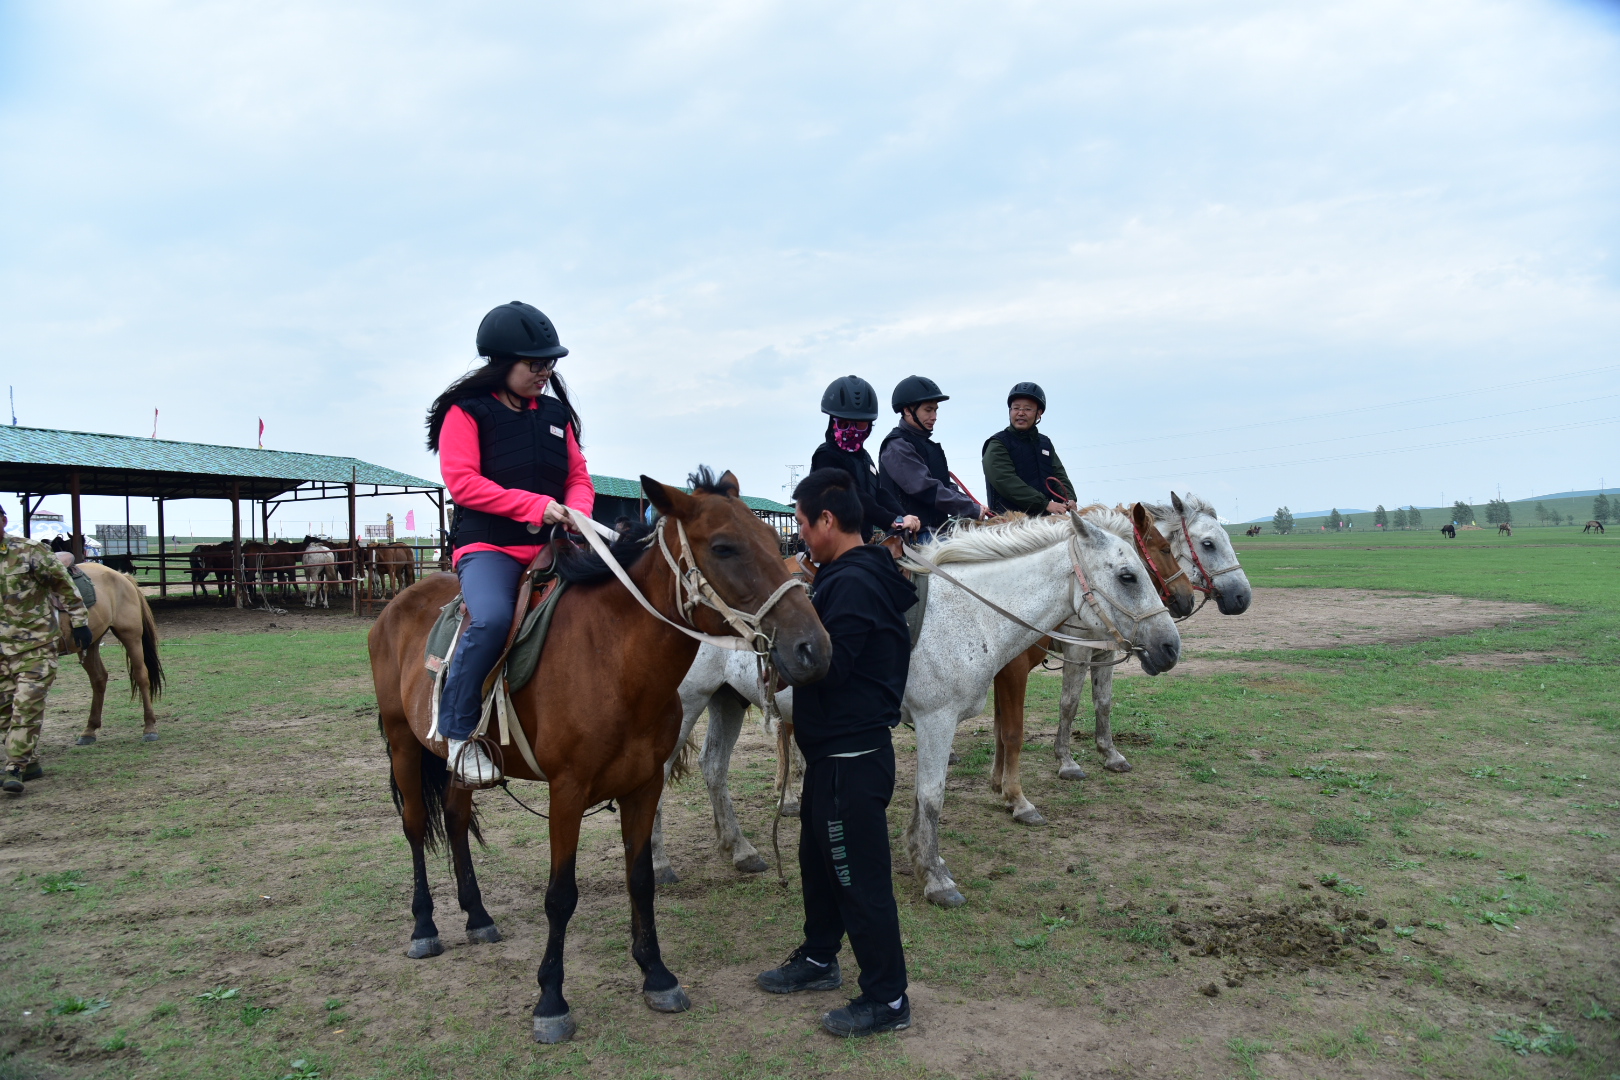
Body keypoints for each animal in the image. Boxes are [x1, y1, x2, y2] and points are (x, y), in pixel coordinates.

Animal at [53, 566, 164, 744]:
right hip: (90, 642)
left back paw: (149, 728)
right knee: (99, 678)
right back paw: (89, 730)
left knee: (141, 676)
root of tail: (121, 575)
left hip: (130, 635)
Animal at [367, 469, 822, 1042]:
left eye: (772, 538)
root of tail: (396, 605)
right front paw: (551, 1001)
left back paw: (477, 917)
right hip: (403, 742)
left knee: (453, 819)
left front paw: (657, 975)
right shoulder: (568, 793)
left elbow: (641, 879)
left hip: (457, 763)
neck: (614, 657)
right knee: (413, 826)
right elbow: (561, 895)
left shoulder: (643, 785)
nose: (813, 647)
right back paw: (425, 926)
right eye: (724, 546)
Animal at [1049, 495, 1250, 780]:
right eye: (1208, 544)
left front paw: (1110, 754)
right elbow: (1069, 703)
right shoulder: (1077, 651)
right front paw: (1066, 761)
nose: (1242, 596)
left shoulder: (1105, 651)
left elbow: (1103, 701)